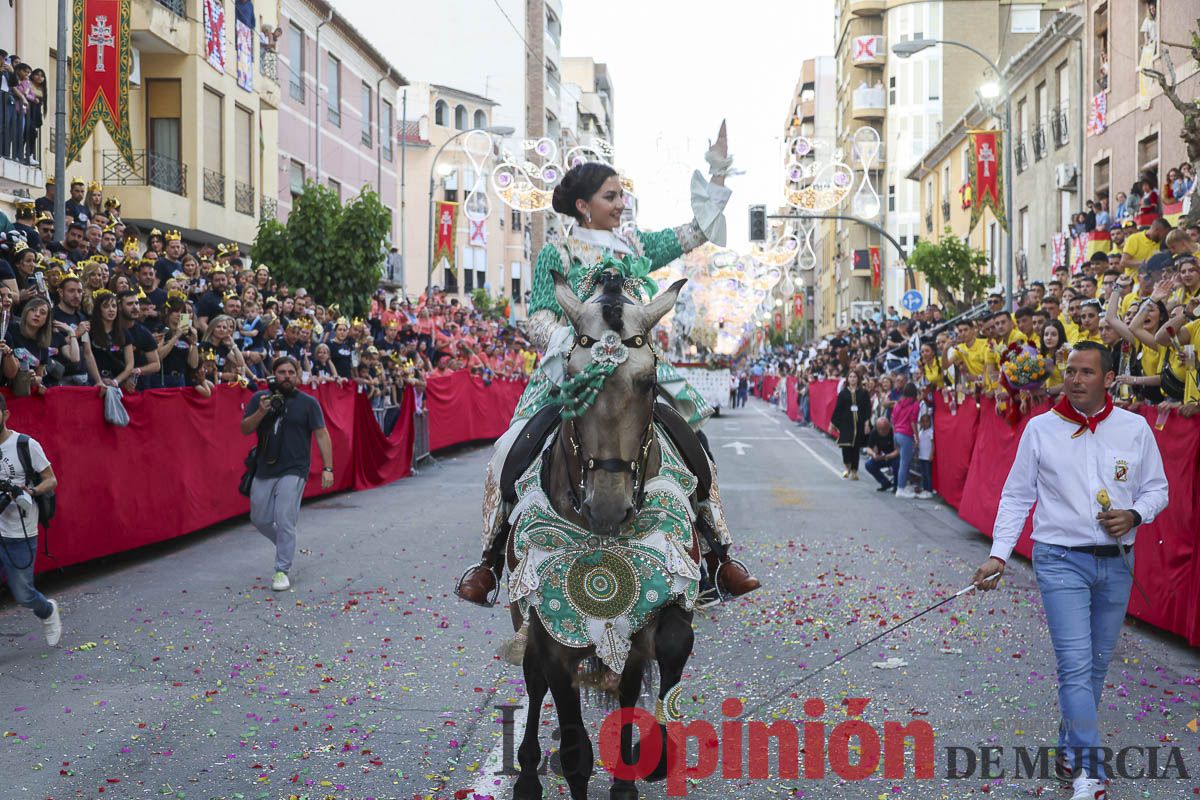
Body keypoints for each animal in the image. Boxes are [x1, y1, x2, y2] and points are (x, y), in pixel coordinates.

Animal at [511, 271, 700, 800]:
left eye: (650, 383)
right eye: (574, 383)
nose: (610, 508)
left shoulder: (663, 598)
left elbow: (667, 649)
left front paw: (650, 759)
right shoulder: (552, 631)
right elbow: (575, 748)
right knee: (533, 680)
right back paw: (528, 772)